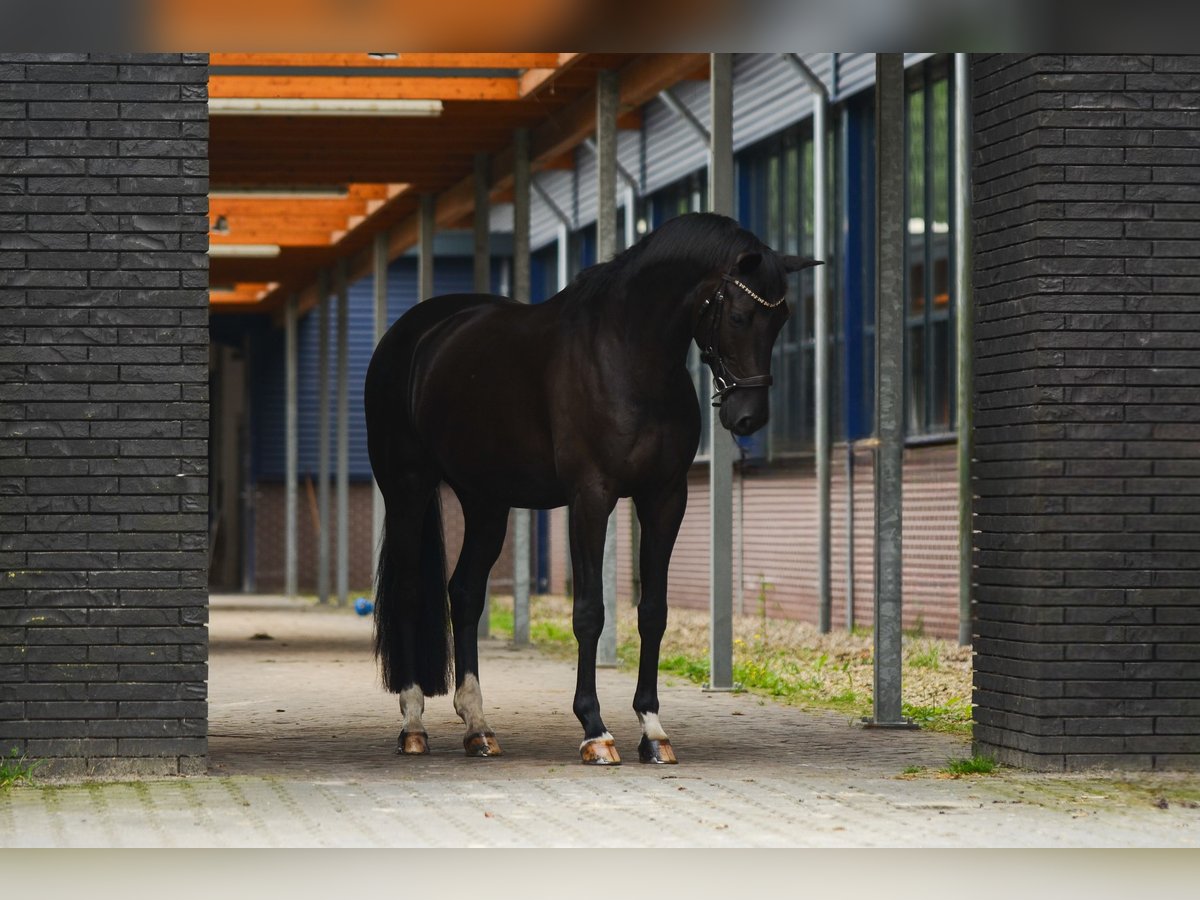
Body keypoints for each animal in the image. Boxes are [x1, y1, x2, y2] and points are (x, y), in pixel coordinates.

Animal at [360, 213, 820, 768]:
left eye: (782, 319)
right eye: (738, 315)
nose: (748, 417)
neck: (628, 356)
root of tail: (411, 334)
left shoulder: (665, 498)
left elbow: (653, 612)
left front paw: (652, 729)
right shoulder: (590, 498)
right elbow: (589, 613)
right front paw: (595, 730)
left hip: (486, 502)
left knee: (465, 593)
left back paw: (478, 727)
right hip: (408, 487)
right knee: (410, 591)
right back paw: (413, 724)